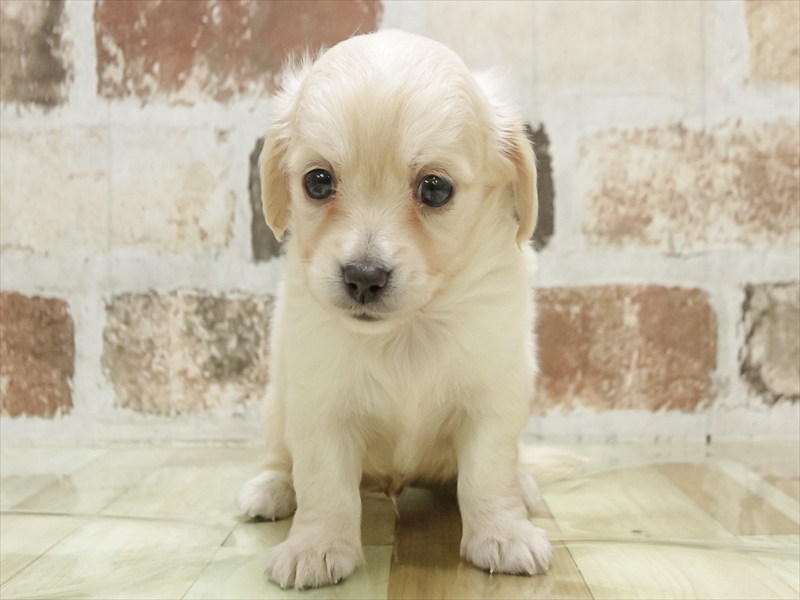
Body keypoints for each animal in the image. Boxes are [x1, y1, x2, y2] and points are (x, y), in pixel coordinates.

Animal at [236, 29, 551, 589]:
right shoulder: (319, 406)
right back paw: (271, 490)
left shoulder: (493, 400)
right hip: (277, 403)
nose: (363, 277)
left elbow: (488, 475)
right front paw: (317, 547)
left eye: (435, 188)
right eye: (318, 181)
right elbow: (324, 484)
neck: (408, 330)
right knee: (279, 456)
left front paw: (503, 535)